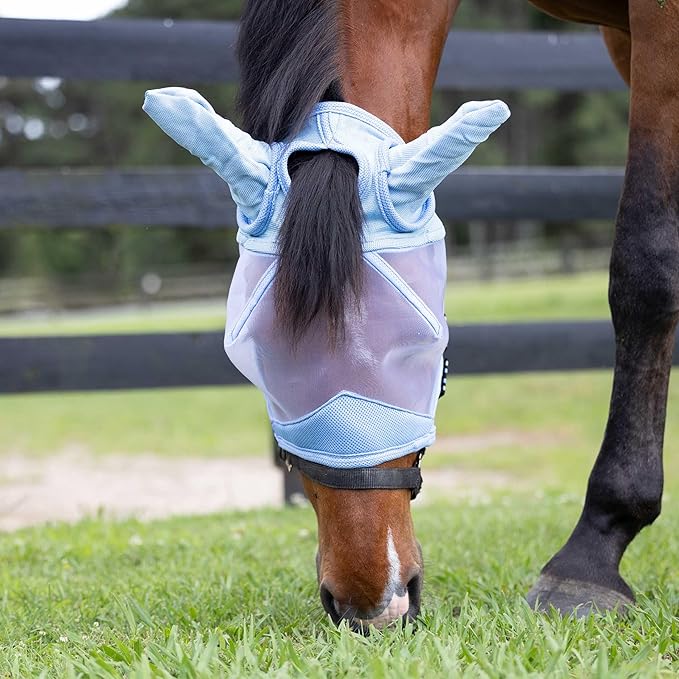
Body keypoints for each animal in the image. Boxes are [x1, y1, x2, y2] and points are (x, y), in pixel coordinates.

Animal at [150, 0, 679, 630]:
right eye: (261, 367)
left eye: (421, 355)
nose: (374, 604)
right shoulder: (625, 39)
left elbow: (647, 262)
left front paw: (590, 562)